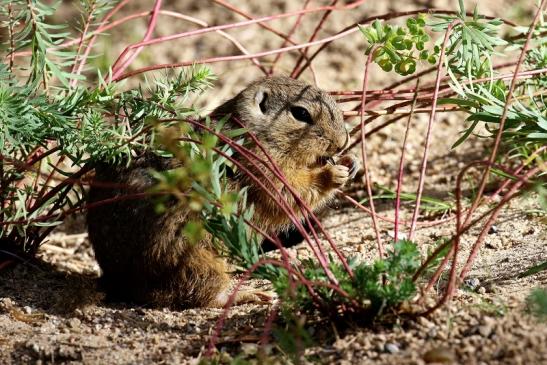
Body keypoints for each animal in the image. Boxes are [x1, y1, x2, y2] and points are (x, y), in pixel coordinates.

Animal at [87, 76, 358, 308]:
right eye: (301, 113)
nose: (342, 141)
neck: (256, 133)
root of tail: (117, 281)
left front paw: (351, 161)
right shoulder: (263, 171)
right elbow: (293, 192)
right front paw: (334, 174)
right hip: (194, 255)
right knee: (205, 293)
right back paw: (253, 293)